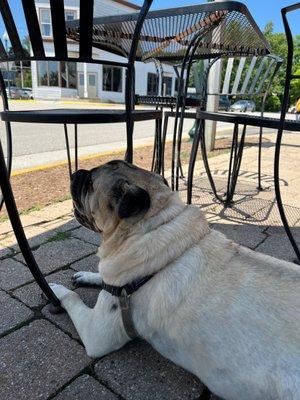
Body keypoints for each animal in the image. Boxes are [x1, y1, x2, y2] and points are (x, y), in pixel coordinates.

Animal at [49, 159, 300, 400]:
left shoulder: (97, 332)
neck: (152, 226)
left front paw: (55, 290)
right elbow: (102, 278)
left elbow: (71, 297)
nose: (76, 173)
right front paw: (88, 275)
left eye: (90, 184)